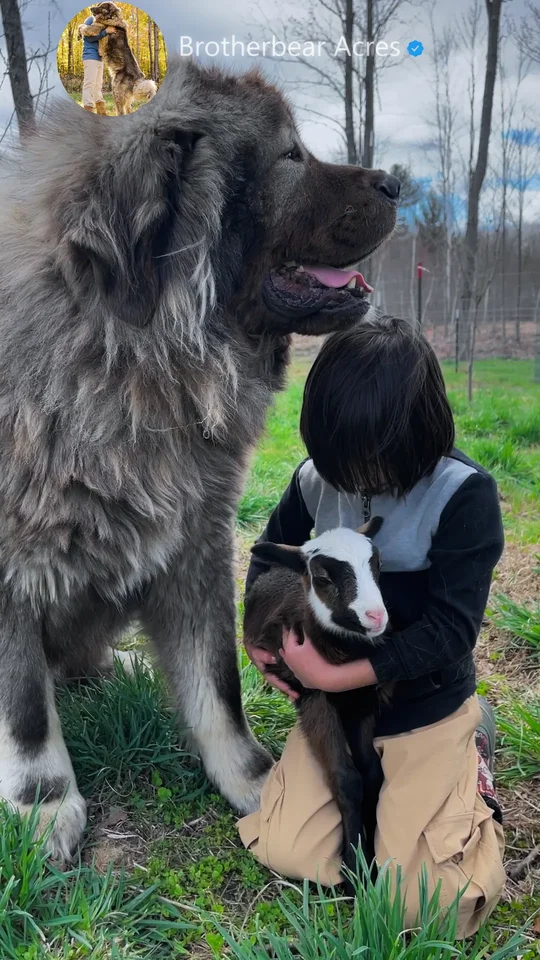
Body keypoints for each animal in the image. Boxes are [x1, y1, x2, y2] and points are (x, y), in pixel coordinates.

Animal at [243, 517, 391, 881]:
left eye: (378, 564)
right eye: (323, 578)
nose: (376, 616)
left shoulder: (363, 703)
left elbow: (371, 772)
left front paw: (369, 856)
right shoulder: (315, 698)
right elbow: (347, 779)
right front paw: (355, 868)